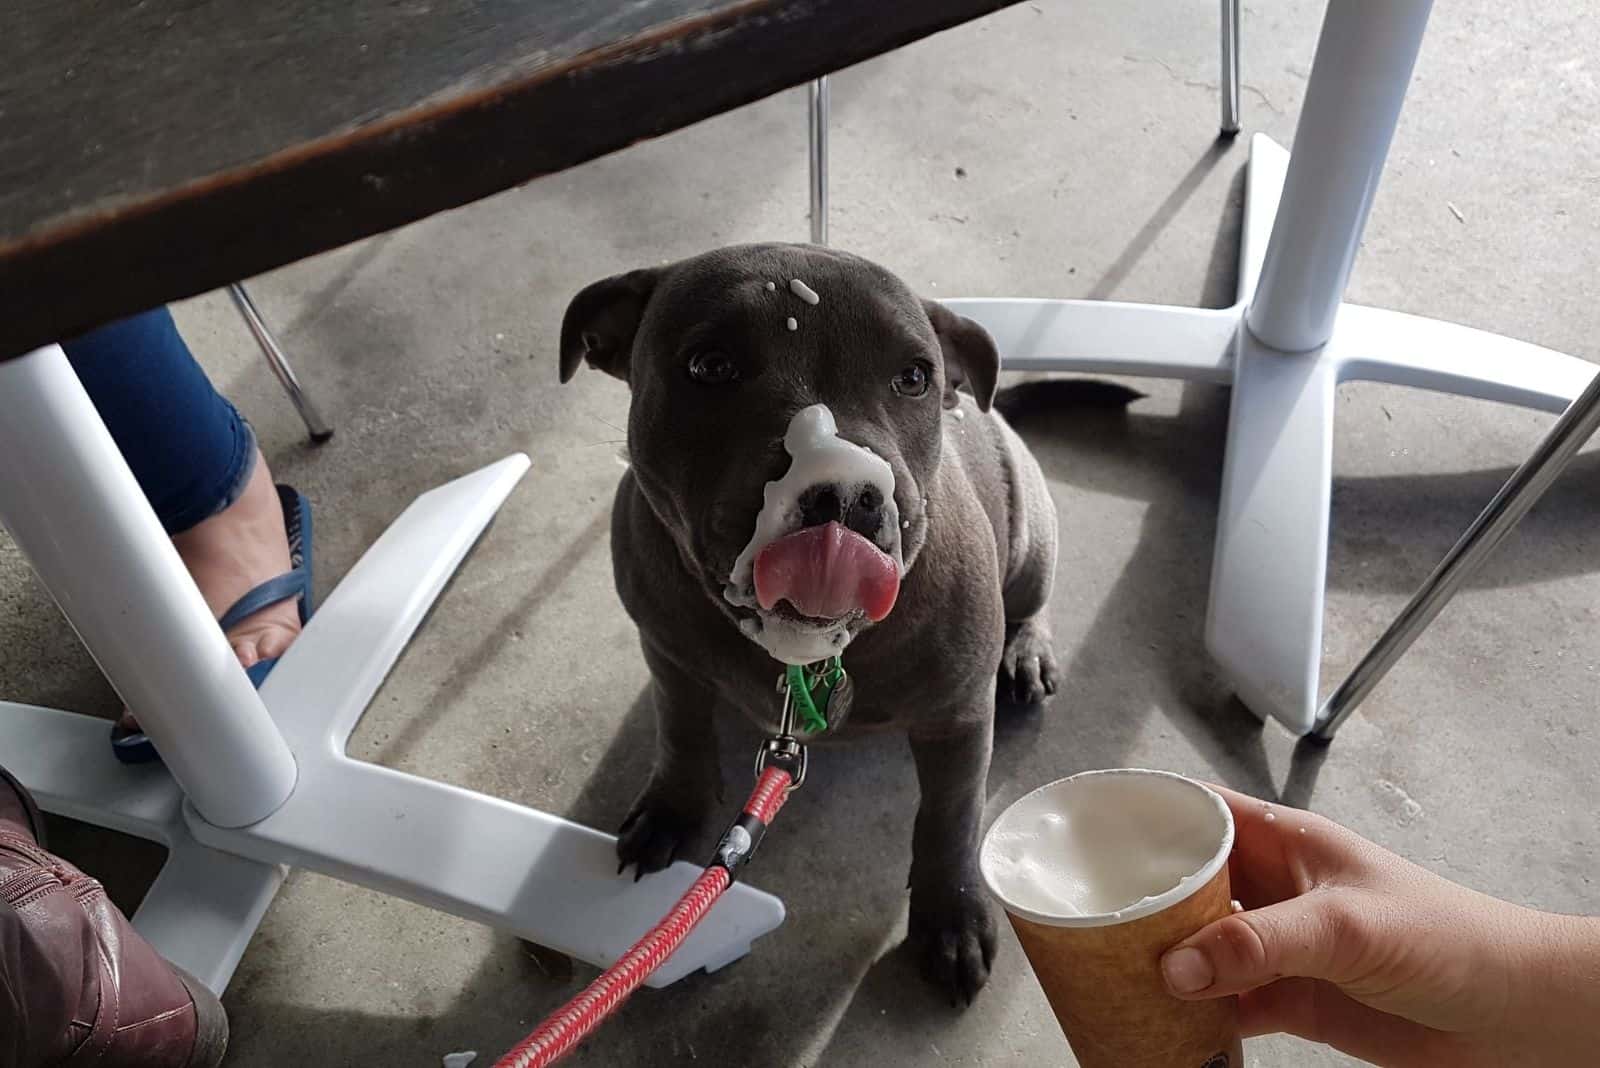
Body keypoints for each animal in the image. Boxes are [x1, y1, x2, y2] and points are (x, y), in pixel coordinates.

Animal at [563, 241, 1062, 1004]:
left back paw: (1027, 652)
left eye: (914, 377)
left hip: (1031, 534)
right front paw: (673, 807)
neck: (804, 652)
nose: (846, 488)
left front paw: (951, 916)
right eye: (711, 365)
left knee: (1033, 599)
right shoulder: (667, 650)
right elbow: (680, 729)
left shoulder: (957, 717)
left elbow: (949, 820)